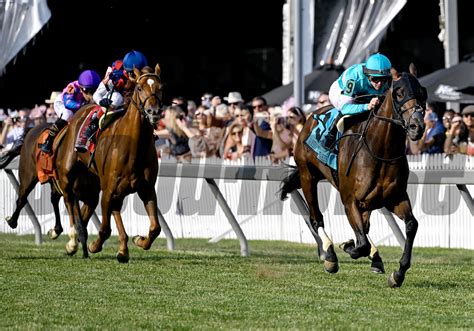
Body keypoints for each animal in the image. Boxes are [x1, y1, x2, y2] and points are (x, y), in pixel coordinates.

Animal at [54, 64, 163, 262]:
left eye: (161, 87)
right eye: (139, 88)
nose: (154, 112)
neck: (134, 146)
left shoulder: (147, 189)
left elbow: (155, 228)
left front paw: (139, 240)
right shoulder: (109, 189)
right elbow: (104, 229)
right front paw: (94, 246)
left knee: (100, 208)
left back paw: (120, 247)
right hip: (67, 175)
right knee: (69, 201)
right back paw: (73, 241)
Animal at [280, 65, 428, 288]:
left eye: (422, 92)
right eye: (399, 92)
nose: (416, 127)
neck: (381, 150)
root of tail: (310, 117)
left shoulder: (395, 197)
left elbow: (411, 225)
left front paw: (398, 273)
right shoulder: (350, 200)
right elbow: (362, 244)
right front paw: (348, 247)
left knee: (365, 227)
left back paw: (375, 258)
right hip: (308, 176)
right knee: (316, 219)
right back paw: (330, 256)